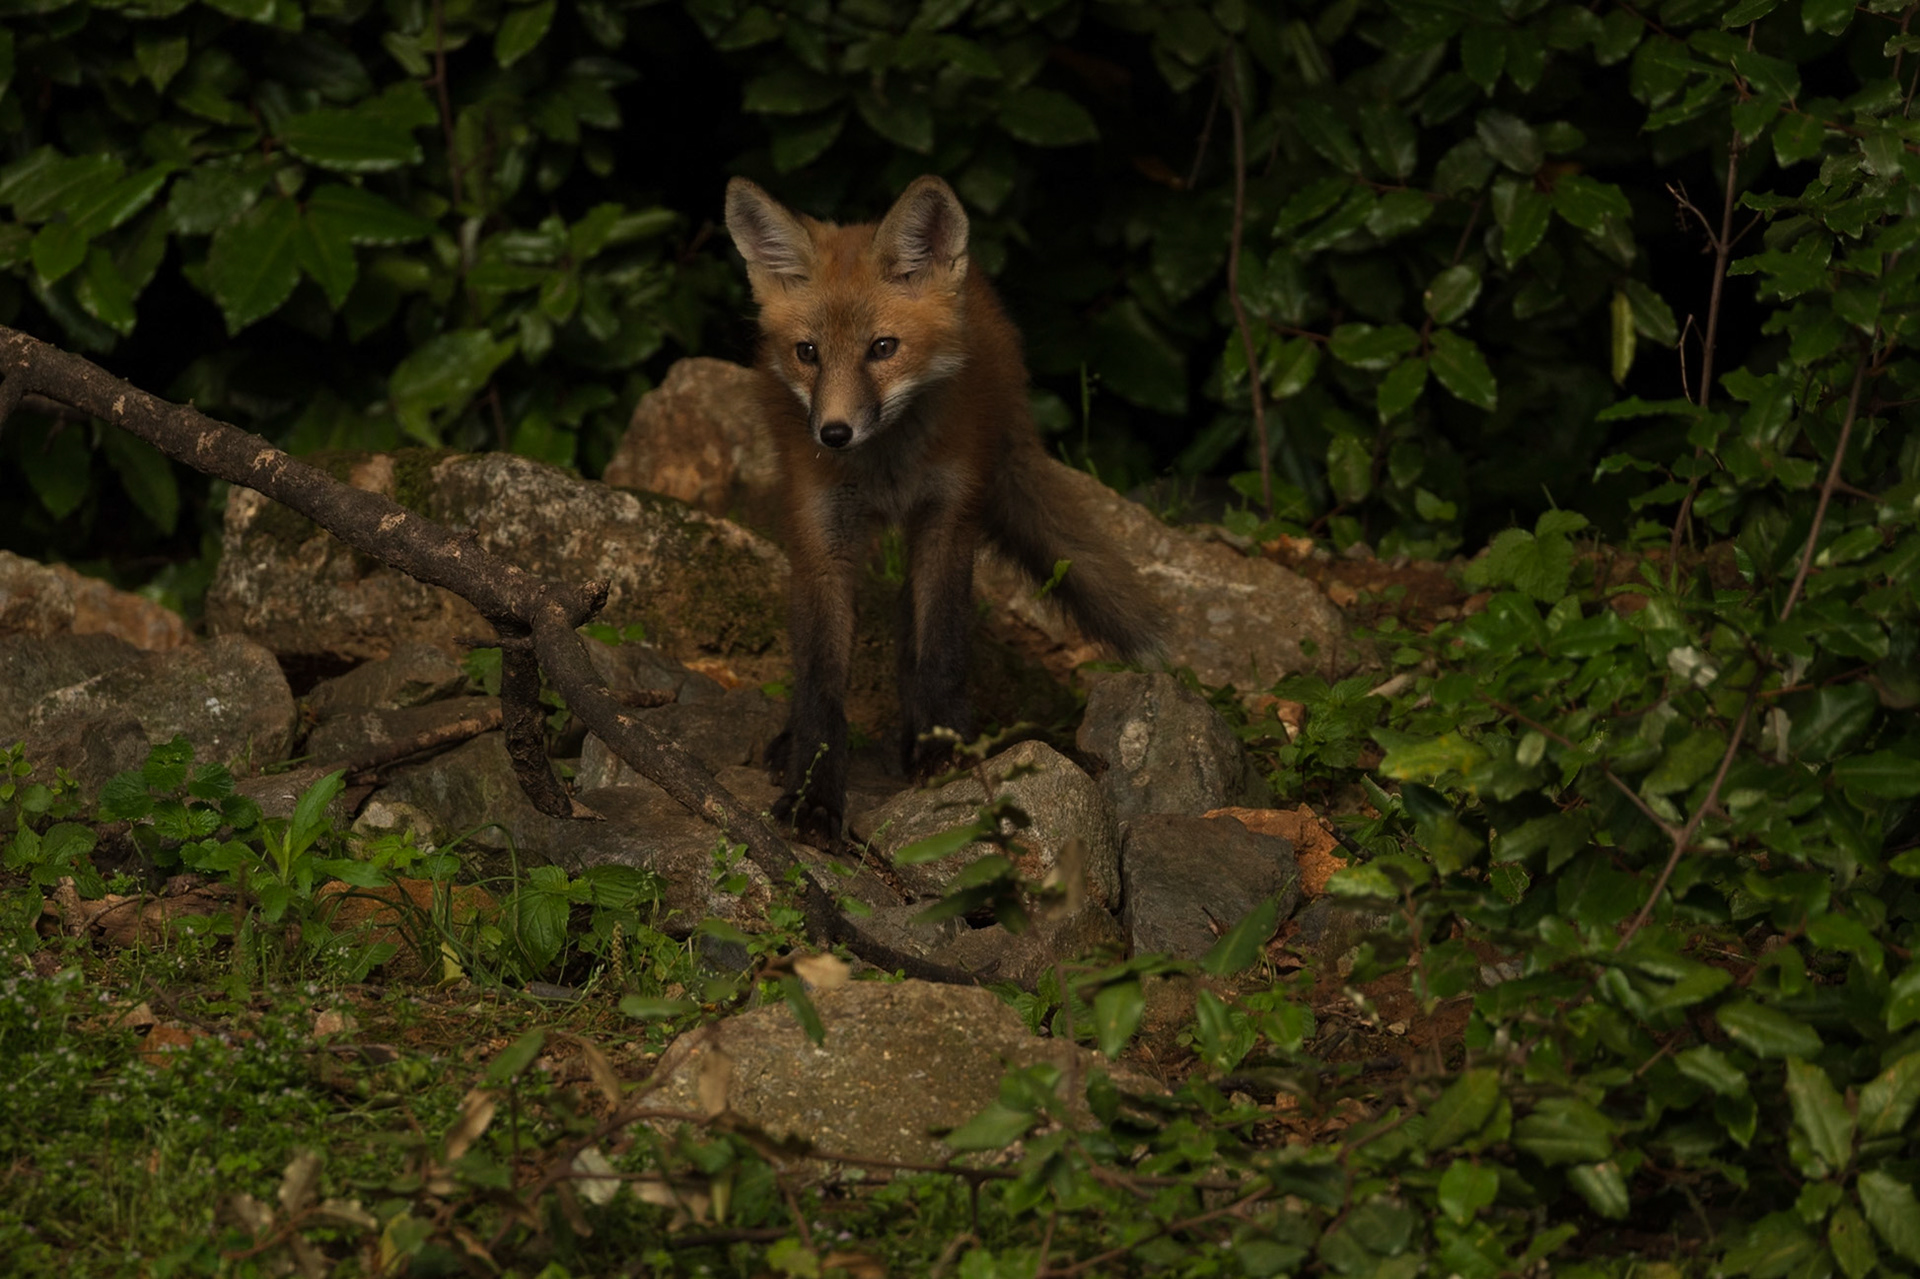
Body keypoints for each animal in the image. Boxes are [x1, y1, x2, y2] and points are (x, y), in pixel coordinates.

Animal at [724, 174, 1161, 844]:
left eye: (883, 348)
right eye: (808, 353)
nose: (833, 434)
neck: (886, 469)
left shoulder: (948, 520)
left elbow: (941, 649)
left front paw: (944, 753)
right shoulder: (822, 538)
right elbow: (820, 680)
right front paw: (813, 792)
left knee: (914, 631)